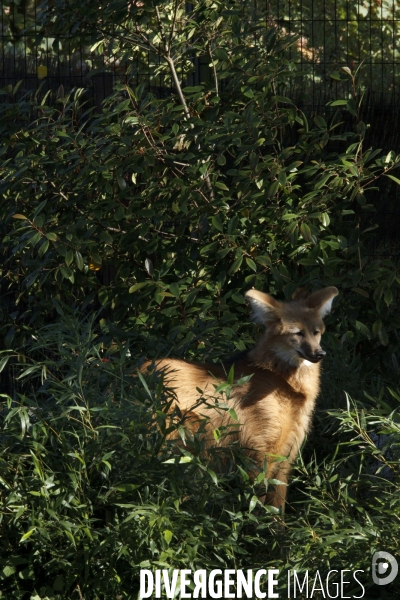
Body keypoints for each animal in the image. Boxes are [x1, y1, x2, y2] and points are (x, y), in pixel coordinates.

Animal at [144, 288, 338, 510]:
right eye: (298, 333)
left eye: (316, 332)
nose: (319, 353)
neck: (284, 381)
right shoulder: (257, 454)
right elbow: (256, 502)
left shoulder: (285, 456)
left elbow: (276, 507)